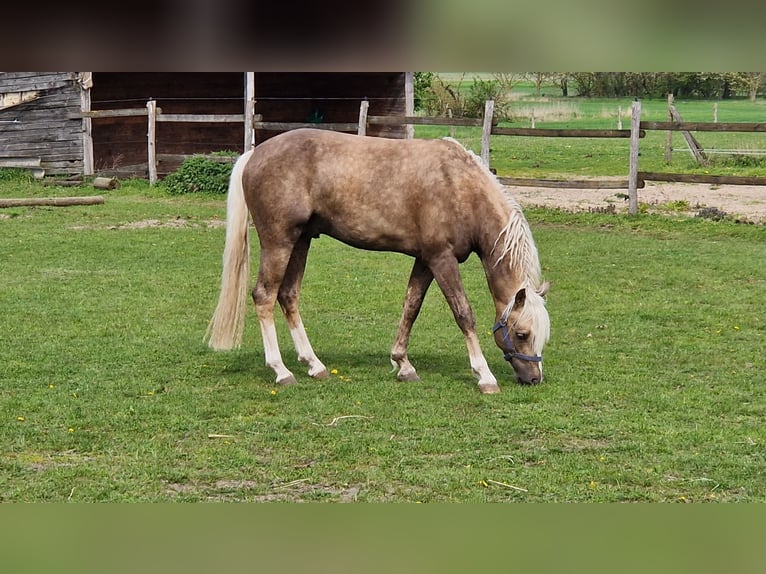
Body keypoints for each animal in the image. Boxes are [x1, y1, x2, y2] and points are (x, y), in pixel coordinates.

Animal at [206, 128, 552, 394]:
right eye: (522, 334)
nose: (534, 379)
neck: (460, 188)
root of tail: (254, 155)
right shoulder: (442, 259)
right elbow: (463, 314)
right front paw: (484, 376)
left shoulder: (425, 259)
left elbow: (411, 306)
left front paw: (403, 364)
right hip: (279, 242)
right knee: (264, 296)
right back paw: (281, 370)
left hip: (301, 241)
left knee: (288, 295)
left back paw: (314, 365)